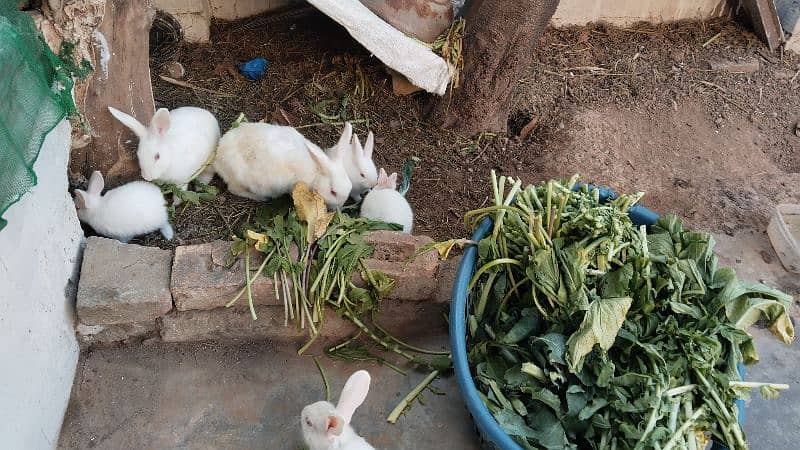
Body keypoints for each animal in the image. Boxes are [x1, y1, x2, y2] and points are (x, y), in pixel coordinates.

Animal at [212, 121, 354, 209]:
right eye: (333, 192)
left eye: (349, 187)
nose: (338, 207)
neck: (316, 173)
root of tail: (218, 159)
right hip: (242, 179)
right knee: (234, 189)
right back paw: (261, 198)